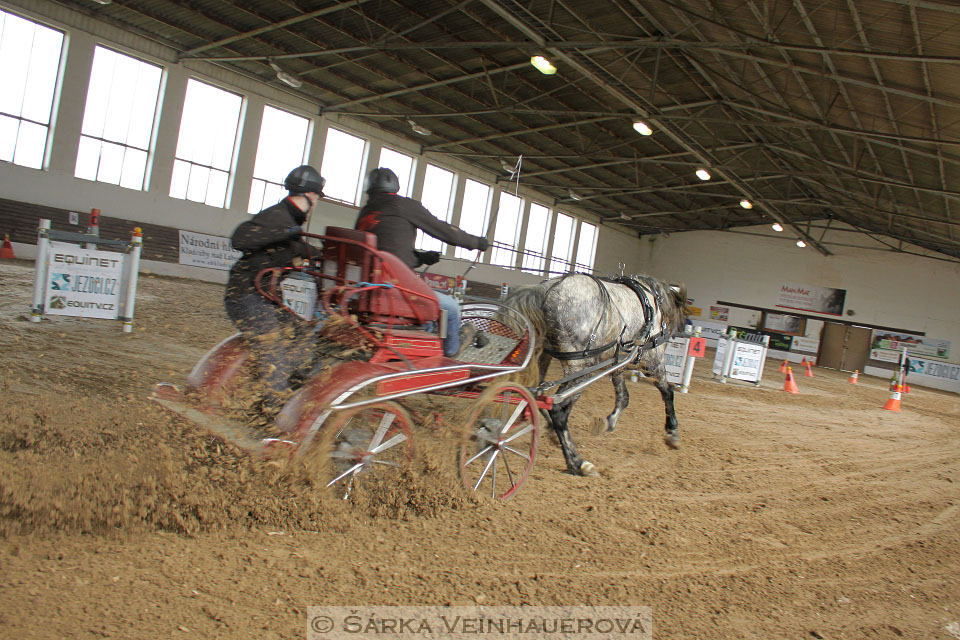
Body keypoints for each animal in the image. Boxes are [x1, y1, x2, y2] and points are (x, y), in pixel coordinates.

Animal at [506, 272, 688, 478]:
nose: (674, 335)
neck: (651, 301)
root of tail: (546, 290)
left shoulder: (618, 359)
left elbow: (623, 396)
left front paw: (610, 421)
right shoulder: (653, 358)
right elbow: (667, 391)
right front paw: (672, 433)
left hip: (544, 355)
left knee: (535, 394)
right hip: (581, 367)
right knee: (558, 409)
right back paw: (578, 463)